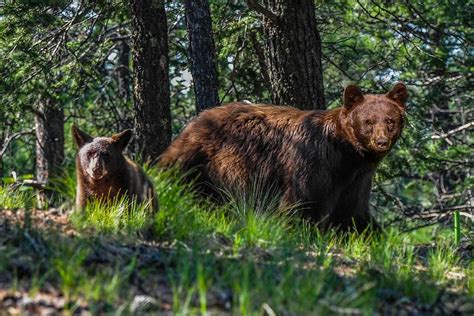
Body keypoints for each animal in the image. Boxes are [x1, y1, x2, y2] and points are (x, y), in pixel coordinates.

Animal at [159, 82, 408, 231]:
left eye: (390, 120)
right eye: (368, 121)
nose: (381, 142)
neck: (345, 155)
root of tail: (198, 118)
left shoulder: (357, 180)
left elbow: (355, 214)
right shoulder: (313, 163)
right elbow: (301, 201)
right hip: (211, 158)